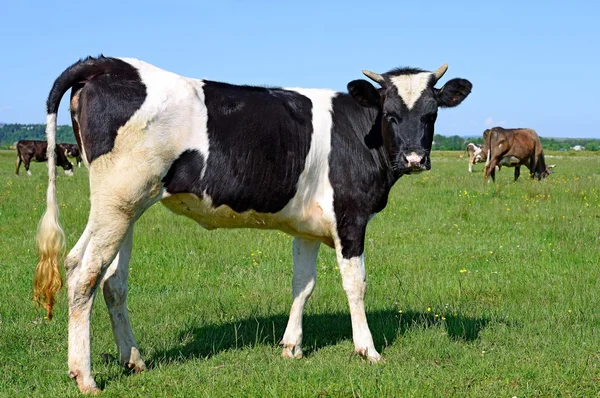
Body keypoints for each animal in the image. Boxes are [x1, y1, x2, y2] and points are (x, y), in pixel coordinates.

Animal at [34, 56, 474, 394]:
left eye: (432, 113)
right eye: (390, 113)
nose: (415, 158)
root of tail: (107, 63)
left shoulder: (307, 226)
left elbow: (303, 284)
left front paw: (292, 346)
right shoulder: (351, 217)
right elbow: (356, 284)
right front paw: (367, 350)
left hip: (126, 206)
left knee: (109, 280)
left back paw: (133, 359)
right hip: (118, 200)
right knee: (83, 274)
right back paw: (85, 377)